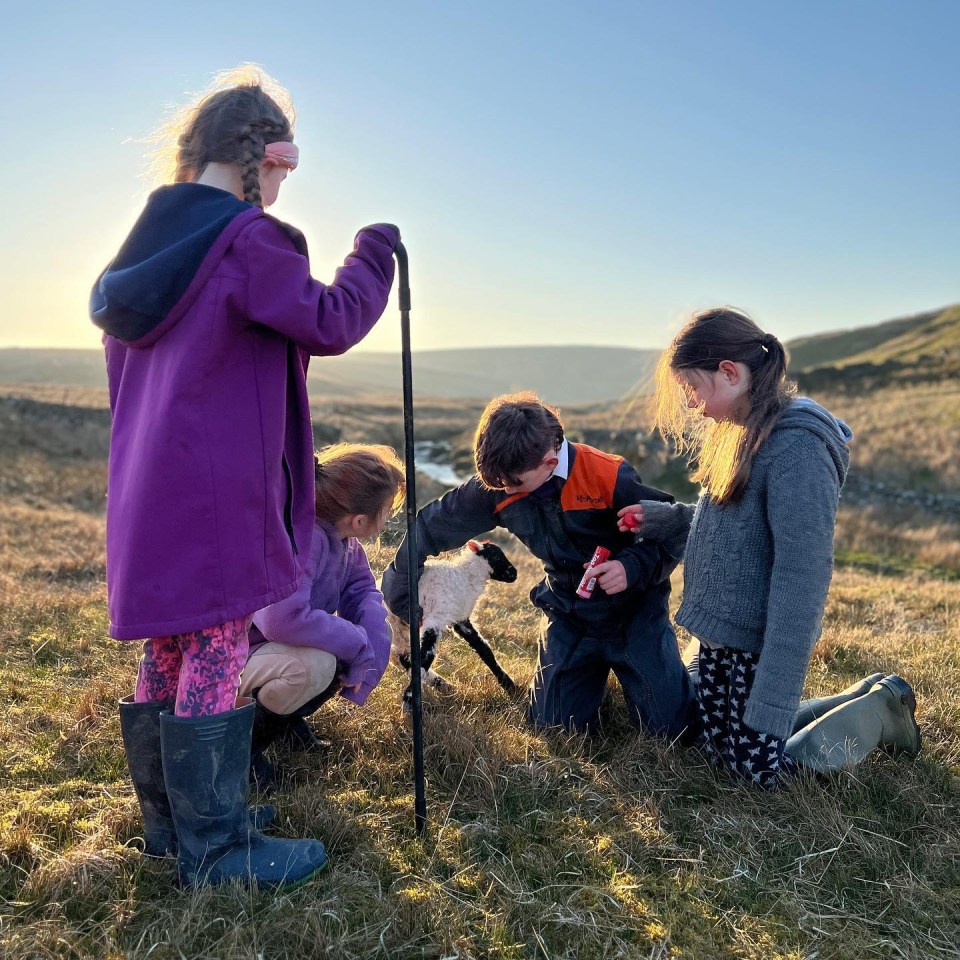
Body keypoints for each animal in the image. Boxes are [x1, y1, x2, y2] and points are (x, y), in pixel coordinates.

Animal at [384, 544, 516, 708]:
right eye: (496, 556)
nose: (514, 574)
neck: (466, 577)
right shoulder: (437, 616)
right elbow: (427, 655)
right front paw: (408, 700)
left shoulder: (461, 619)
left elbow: (484, 649)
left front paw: (510, 686)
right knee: (404, 657)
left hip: (402, 631)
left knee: (401, 656)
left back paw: (445, 686)